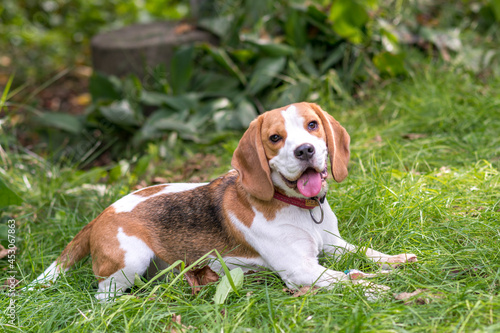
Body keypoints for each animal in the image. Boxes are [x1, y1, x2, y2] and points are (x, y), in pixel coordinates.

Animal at [29, 101, 416, 298]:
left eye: (312, 125)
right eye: (275, 138)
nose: (305, 150)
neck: (298, 208)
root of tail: (100, 214)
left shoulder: (333, 244)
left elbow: (365, 253)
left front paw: (396, 260)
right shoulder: (300, 269)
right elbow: (346, 276)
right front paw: (375, 287)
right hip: (131, 260)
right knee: (103, 295)